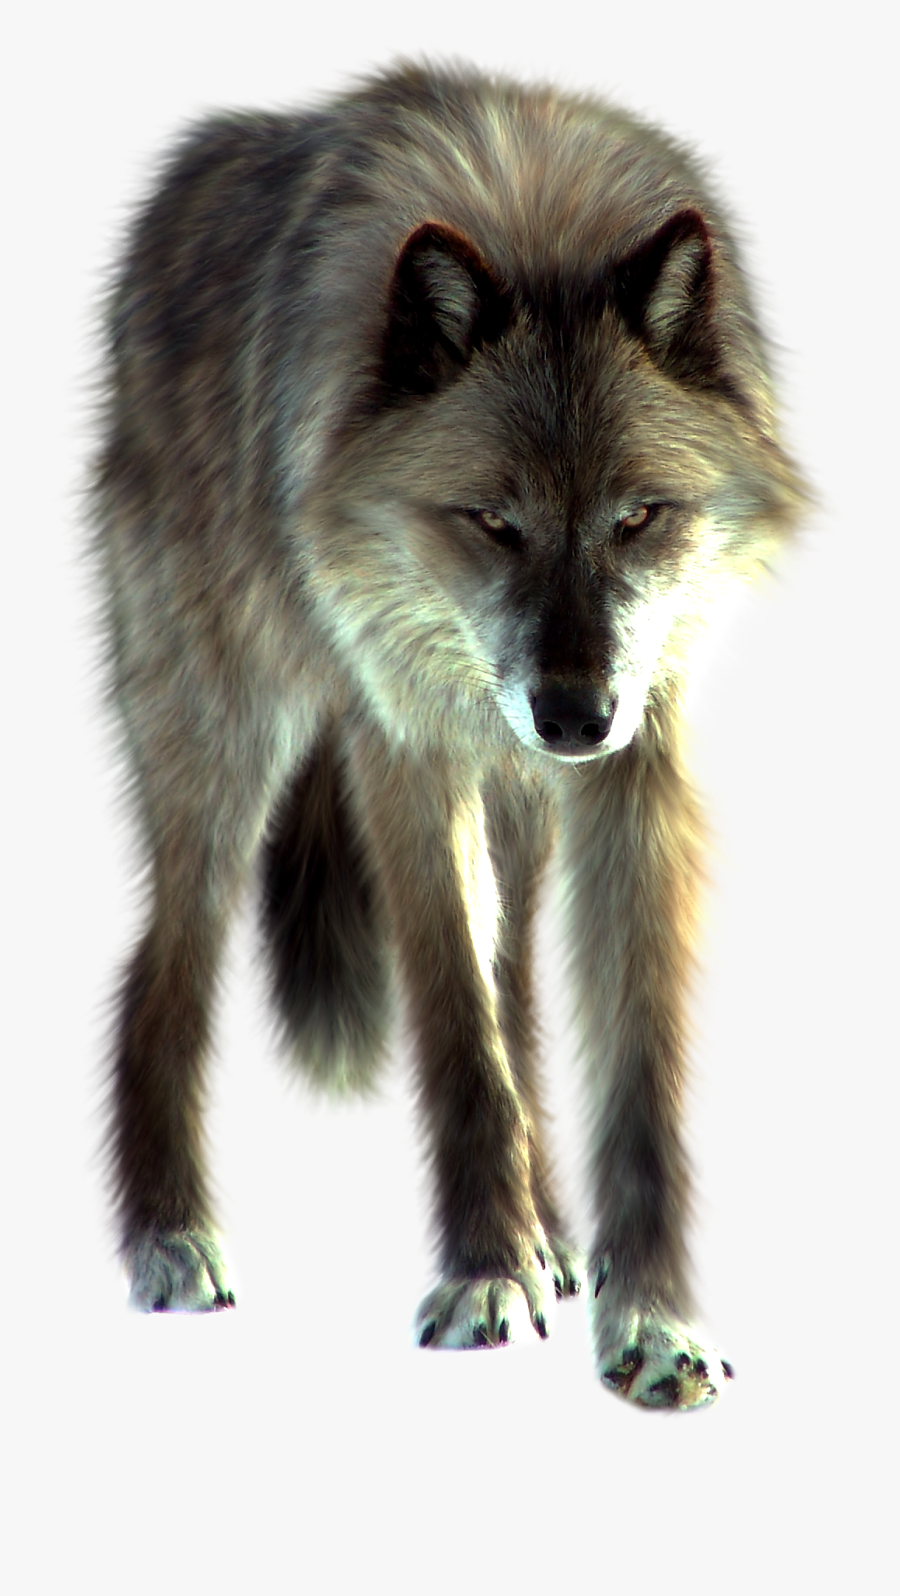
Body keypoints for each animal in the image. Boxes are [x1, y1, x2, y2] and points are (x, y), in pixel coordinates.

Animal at [94, 62, 805, 1407]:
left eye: (638, 517)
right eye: (493, 521)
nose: (571, 716)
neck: (535, 219)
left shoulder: (641, 771)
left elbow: (628, 1066)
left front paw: (651, 1321)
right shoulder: (406, 757)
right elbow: (456, 1032)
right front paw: (484, 1275)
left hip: (520, 810)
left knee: (519, 987)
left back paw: (554, 1236)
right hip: (227, 748)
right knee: (160, 974)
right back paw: (171, 1239)